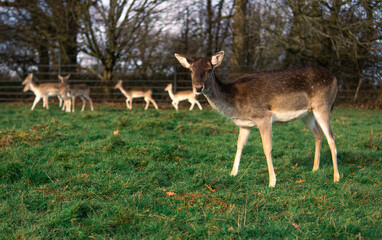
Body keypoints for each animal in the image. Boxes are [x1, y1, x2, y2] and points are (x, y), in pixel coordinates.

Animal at [175, 50, 340, 188]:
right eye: (190, 70)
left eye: (209, 69)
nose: (198, 88)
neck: (235, 104)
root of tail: (335, 78)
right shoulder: (244, 125)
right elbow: (239, 146)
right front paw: (233, 173)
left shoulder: (263, 117)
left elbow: (267, 147)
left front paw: (272, 182)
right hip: (307, 114)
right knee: (318, 134)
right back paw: (315, 169)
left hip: (323, 105)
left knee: (331, 138)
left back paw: (336, 177)